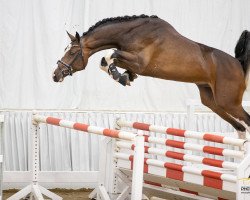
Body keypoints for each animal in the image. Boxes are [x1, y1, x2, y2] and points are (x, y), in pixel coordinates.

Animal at [53, 14, 250, 138]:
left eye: (72, 52)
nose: (55, 75)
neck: (132, 32)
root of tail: (238, 64)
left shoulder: (139, 62)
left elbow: (108, 55)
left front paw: (120, 77)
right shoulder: (132, 62)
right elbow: (108, 61)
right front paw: (126, 77)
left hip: (229, 102)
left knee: (245, 121)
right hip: (212, 101)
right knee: (240, 127)